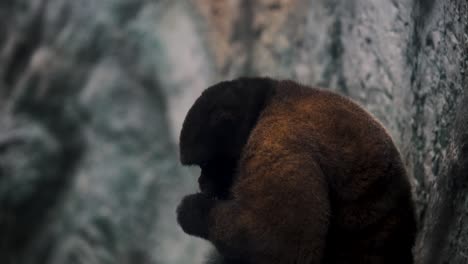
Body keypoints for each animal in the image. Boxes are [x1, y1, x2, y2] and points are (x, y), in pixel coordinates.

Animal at [176, 77, 416, 264]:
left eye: (206, 165)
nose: (201, 181)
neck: (265, 104)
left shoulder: (276, 143)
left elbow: (285, 247)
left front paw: (192, 210)